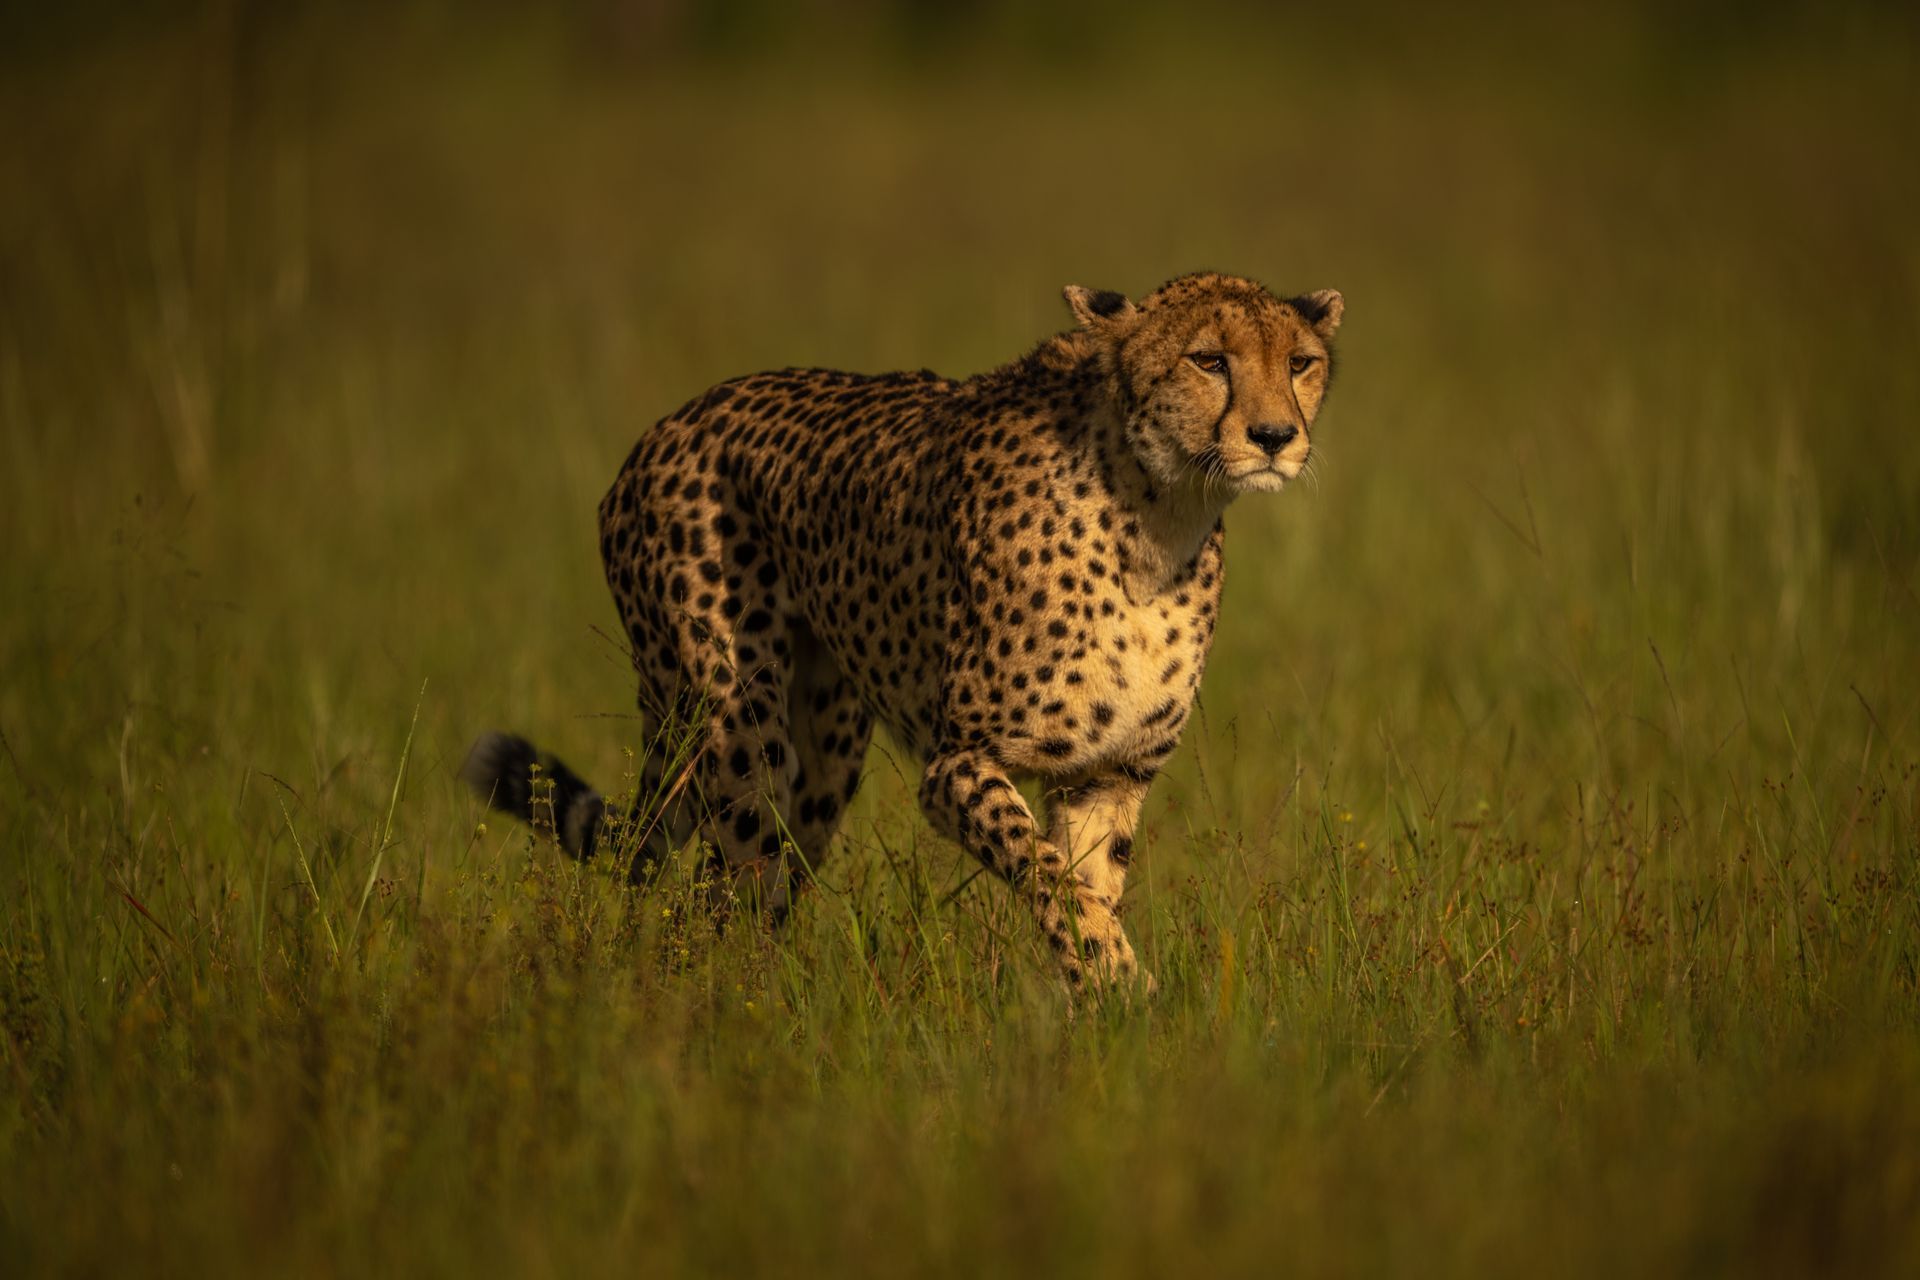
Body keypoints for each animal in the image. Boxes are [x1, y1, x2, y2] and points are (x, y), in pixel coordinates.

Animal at [463, 271, 1345, 990]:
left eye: (1300, 364)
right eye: (1209, 360)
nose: (1275, 437)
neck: (1157, 520)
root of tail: (673, 420)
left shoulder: (1107, 776)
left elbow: (1087, 886)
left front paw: (1106, 1012)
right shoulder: (959, 762)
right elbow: (1049, 876)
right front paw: (1122, 985)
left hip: (822, 753)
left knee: (755, 884)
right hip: (736, 727)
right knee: (719, 887)